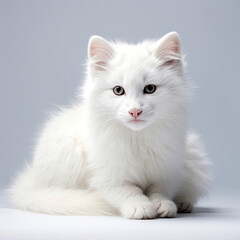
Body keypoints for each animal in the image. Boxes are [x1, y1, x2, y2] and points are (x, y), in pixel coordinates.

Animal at [9, 31, 211, 219]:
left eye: (150, 89)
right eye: (118, 90)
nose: (135, 111)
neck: (137, 138)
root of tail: (33, 180)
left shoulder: (167, 171)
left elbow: (160, 190)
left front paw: (163, 205)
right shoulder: (108, 177)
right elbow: (129, 191)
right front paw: (140, 207)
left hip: (193, 156)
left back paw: (184, 203)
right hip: (68, 152)